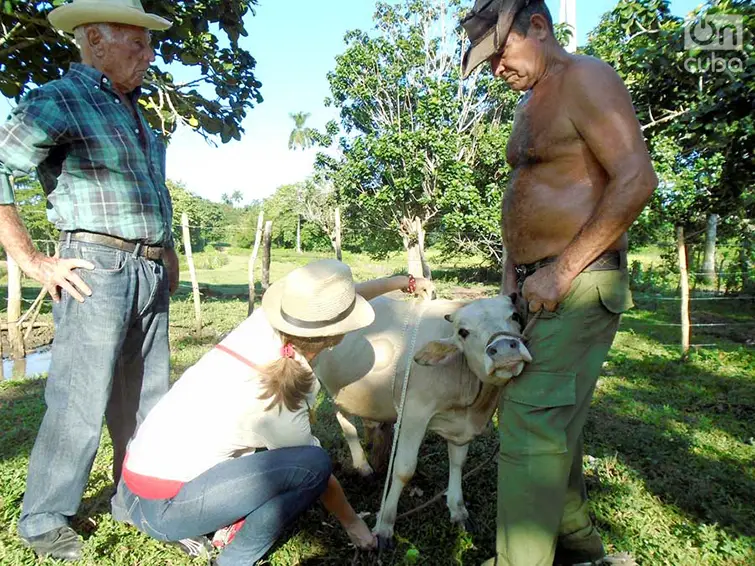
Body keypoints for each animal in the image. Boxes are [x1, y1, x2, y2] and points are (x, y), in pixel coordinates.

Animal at [314, 292, 532, 544]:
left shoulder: (461, 427)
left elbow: (458, 462)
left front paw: (458, 510)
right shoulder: (414, 413)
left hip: (345, 392)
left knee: (344, 417)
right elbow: (404, 469)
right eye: (463, 332)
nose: (505, 349)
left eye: (515, 316)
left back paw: (365, 458)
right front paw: (385, 525)